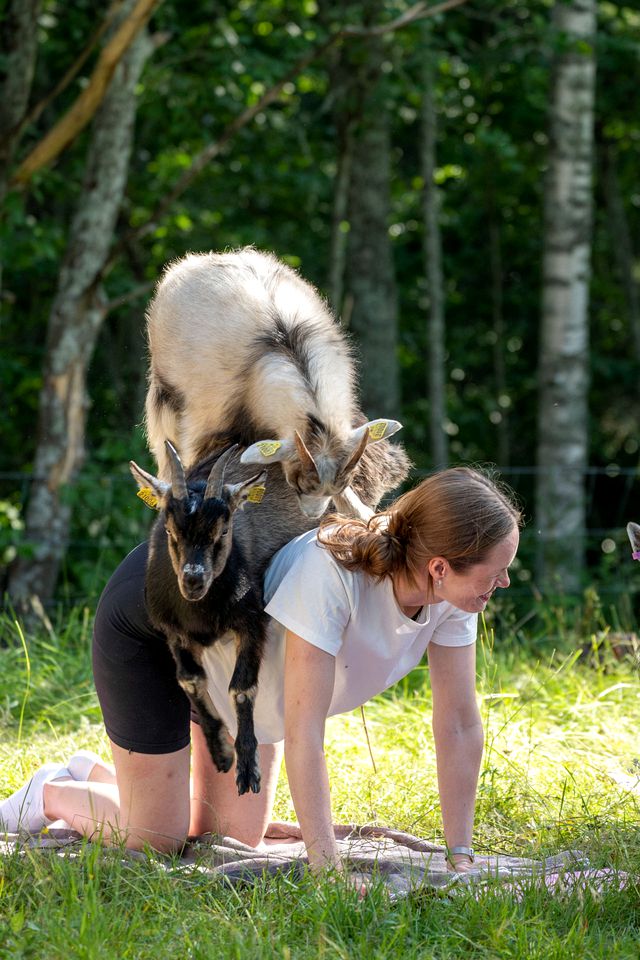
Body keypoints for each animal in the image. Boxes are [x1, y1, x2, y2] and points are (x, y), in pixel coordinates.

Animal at [131, 438, 318, 792]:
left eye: (223, 530)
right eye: (170, 530)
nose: (193, 580)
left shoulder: (253, 621)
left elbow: (241, 688)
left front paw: (247, 767)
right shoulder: (173, 631)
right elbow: (190, 680)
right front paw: (220, 752)